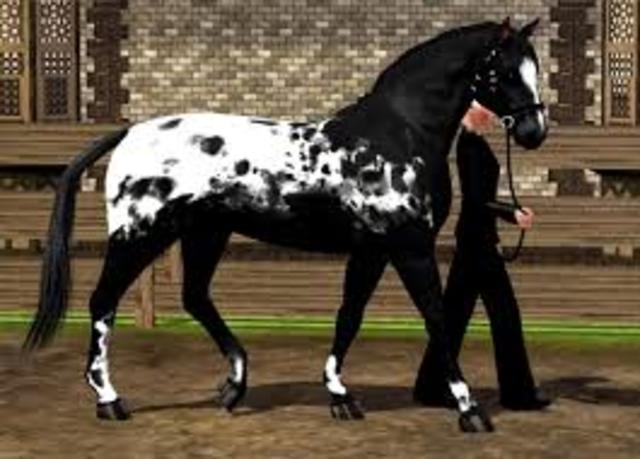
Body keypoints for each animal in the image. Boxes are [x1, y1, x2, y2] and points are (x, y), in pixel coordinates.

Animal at [23, 17, 547, 433]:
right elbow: (436, 317)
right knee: (103, 302)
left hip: (205, 233)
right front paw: (470, 409)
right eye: (502, 71)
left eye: (535, 69)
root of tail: (129, 132)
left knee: (195, 297)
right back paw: (110, 401)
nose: (534, 132)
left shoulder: (373, 249)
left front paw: (340, 396)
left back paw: (233, 387)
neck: (398, 134)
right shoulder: (409, 246)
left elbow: (350, 314)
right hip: (140, 235)